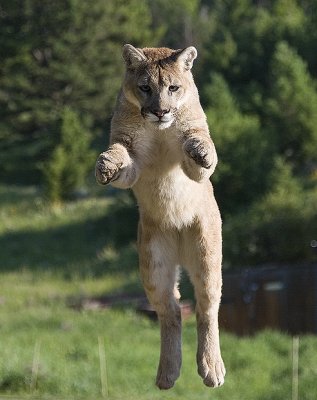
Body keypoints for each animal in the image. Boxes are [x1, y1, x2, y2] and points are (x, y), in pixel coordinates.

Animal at [94, 44, 225, 390]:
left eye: (173, 88)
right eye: (145, 88)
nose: (161, 111)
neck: (158, 131)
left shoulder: (194, 169)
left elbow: (199, 148)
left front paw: (201, 149)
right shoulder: (131, 159)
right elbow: (120, 155)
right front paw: (105, 164)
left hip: (207, 256)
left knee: (207, 307)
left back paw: (211, 368)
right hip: (153, 264)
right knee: (171, 311)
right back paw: (168, 373)